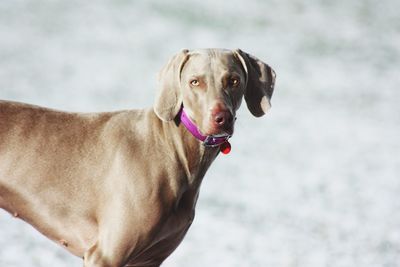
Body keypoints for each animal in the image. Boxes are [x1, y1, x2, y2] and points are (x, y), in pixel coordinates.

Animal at [0, 49, 276, 266]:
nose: (222, 118)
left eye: (233, 80)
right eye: (195, 82)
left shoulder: (148, 260)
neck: (173, 149)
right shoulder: (105, 255)